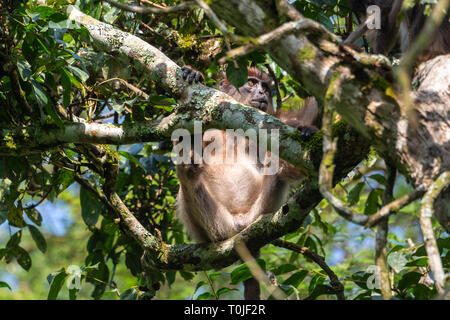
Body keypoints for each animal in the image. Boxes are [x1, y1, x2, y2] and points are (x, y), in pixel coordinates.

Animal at [176, 65, 320, 300]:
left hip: (260, 211)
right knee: (187, 181)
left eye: (266, 88)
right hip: (216, 227)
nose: (262, 94)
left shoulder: (272, 119)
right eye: (251, 83)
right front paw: (194, 73)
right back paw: (189, 169)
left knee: (280, 166)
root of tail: (241, 224)